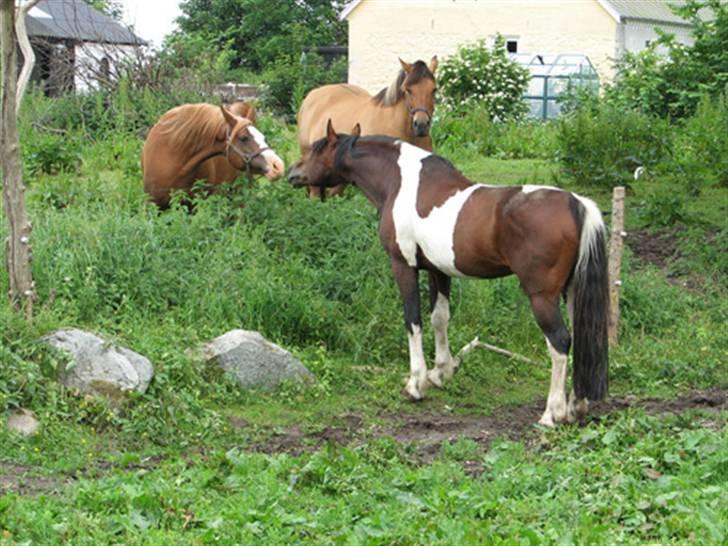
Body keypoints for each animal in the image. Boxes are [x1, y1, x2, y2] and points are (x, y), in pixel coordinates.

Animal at [288, 121, 612, 422]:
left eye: (316, 149)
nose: (292, 172)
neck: (401, 183)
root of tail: (576, 204)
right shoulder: (438, 270)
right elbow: (439, 318)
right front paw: (441, 372)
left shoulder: (403, 266)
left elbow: (413, 320)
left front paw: (416, 383)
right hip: (571, 293)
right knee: (582, 338)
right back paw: (576, 406)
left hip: (542, 297)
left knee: (560, 342)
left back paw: (552, 413)